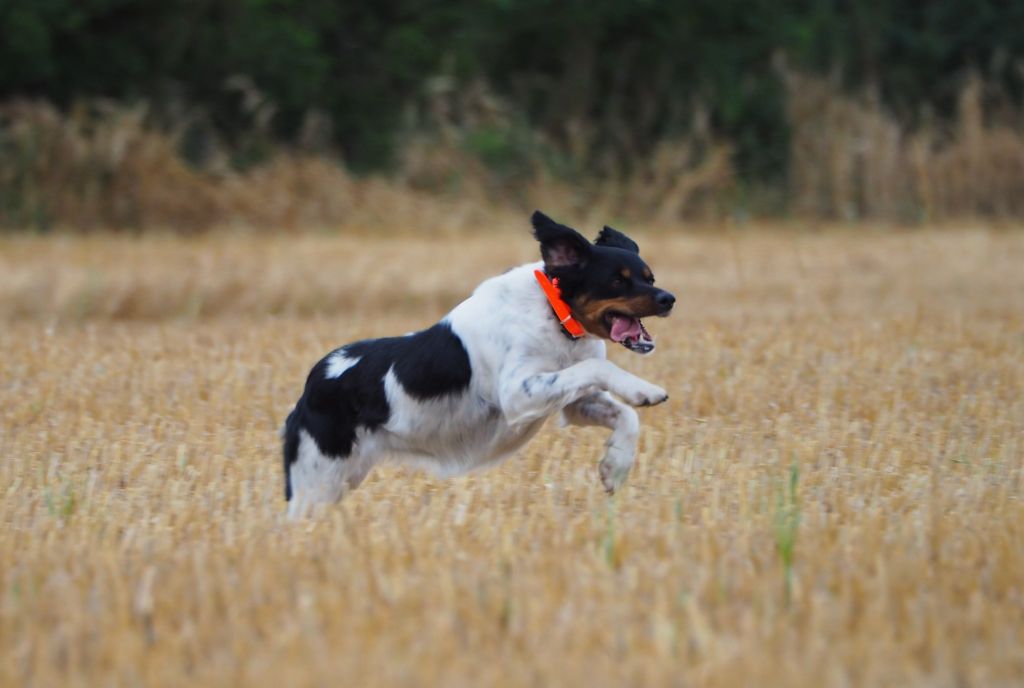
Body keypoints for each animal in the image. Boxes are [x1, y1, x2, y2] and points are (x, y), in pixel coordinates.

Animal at [284, 209, 675, 516]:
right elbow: (598, 369)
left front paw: (615, 468)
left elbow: (626, 416)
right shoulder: (517, 394)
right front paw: (645, 390)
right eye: (617, 280)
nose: (668, 298)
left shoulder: (575, 403)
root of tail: (311, 385)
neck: (554, 315)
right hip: (317, 482)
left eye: (649, 277)